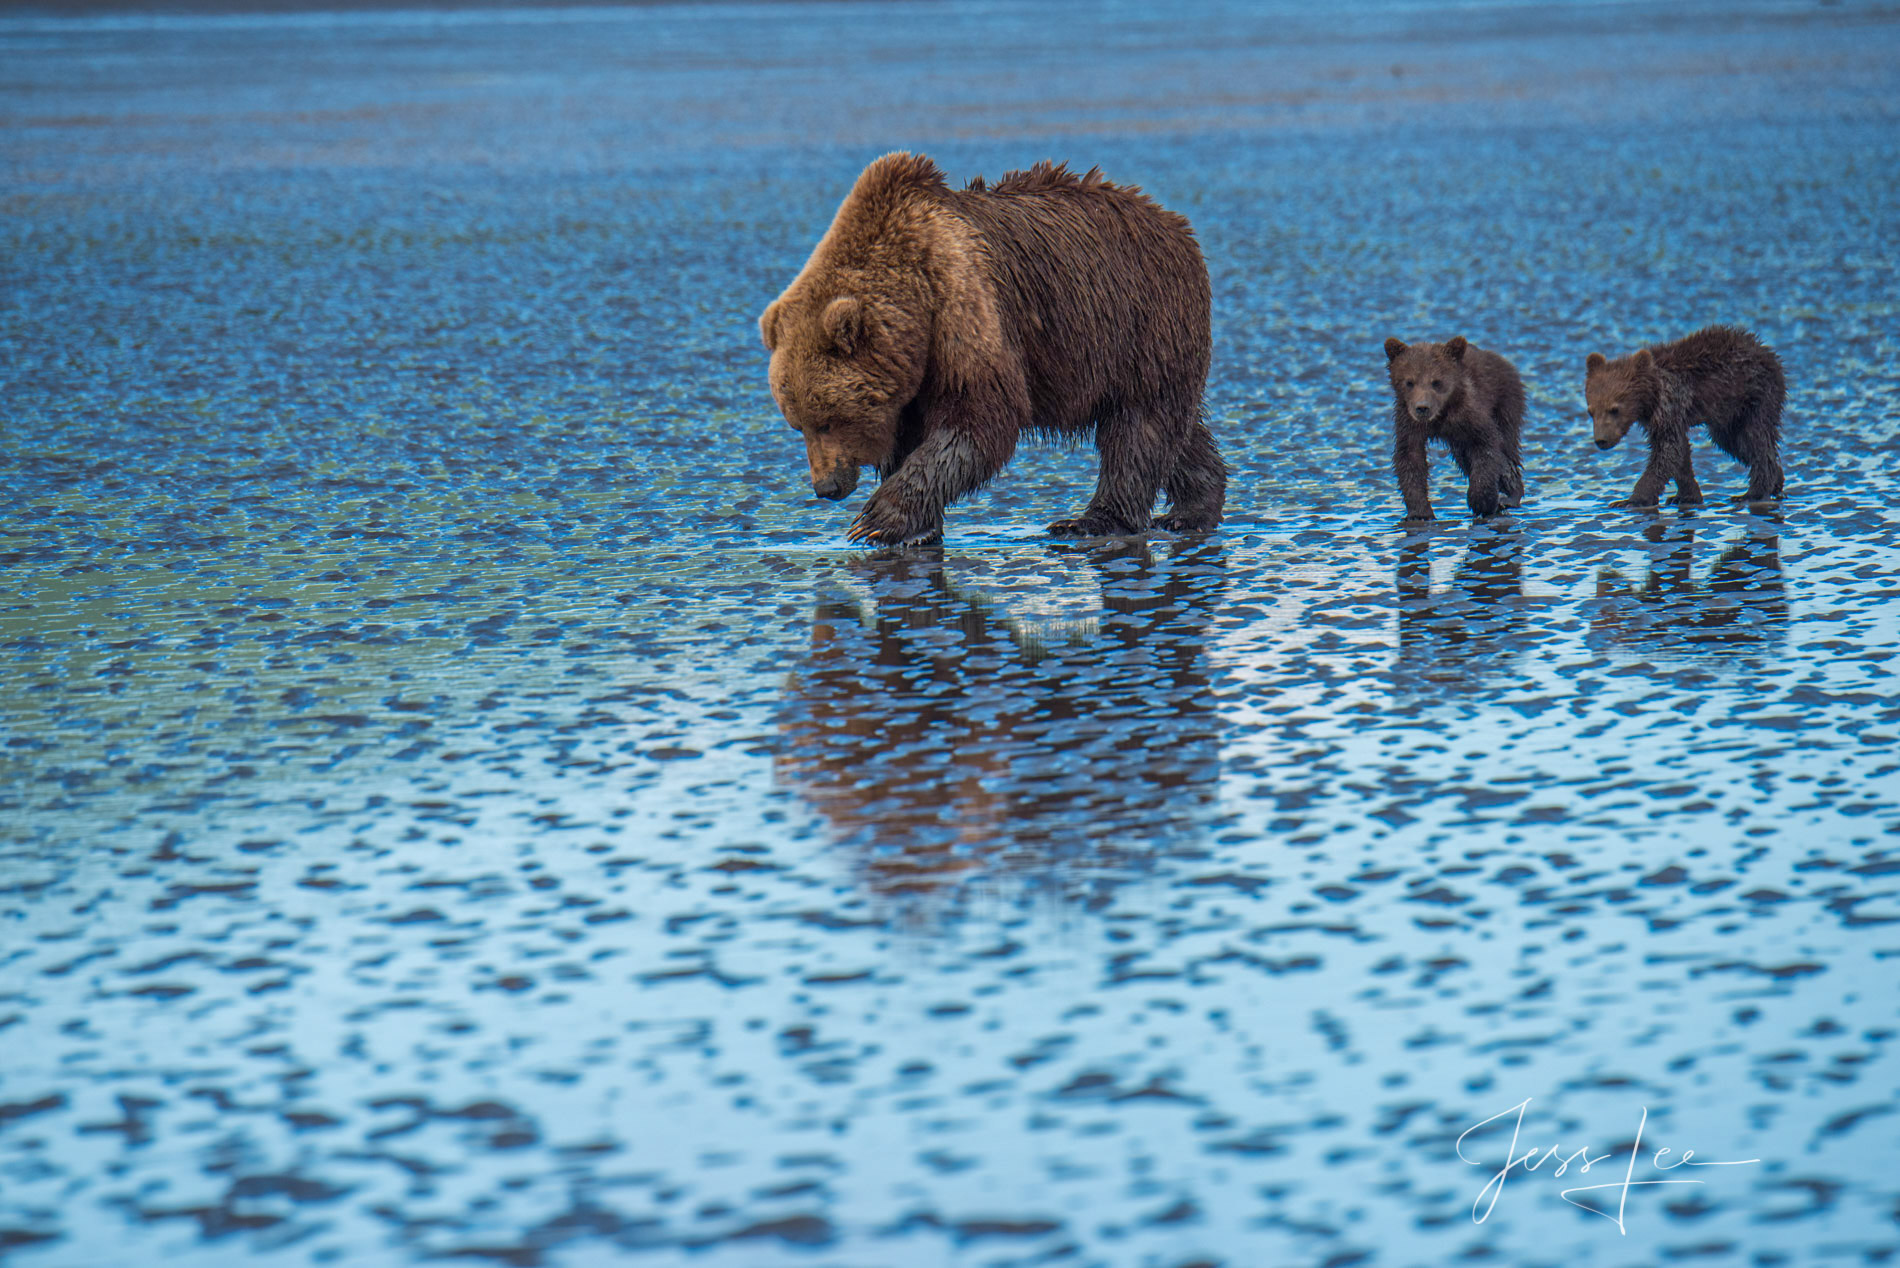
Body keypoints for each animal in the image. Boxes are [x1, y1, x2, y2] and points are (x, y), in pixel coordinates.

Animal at [752, 151, 1216, 543]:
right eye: (797, 424)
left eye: (829, 420)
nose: (826, 487)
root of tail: (1174, 222)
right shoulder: (913, 380)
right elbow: (913, 438)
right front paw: (917, 527)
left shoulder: (964, 307)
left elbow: (978, 419)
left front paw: (877, 520)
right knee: (1176, 430)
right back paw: (1193, 508)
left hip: (1139, 322)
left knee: (1138, 428)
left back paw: (1092, 521)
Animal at [1383, 334, 1527, 524]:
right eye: (1409, 382)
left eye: (1436, 382)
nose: (1422, 408)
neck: (1441, 414)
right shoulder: (1409, 422)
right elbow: (1410, 457)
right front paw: (1419, 513)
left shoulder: (1470, 413)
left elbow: (1486, 447)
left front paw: (1481, 501)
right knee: (1465, 457)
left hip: (1505, 402)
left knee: (1507, 450)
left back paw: (1510, 497)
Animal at [1580, 325, 1786, 509]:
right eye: (1591, 411)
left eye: (1614, 409)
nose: (1601, 440)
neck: (1651, 397)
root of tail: (1767, 351)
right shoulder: (1660, 418)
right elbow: (1680, 453)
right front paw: (1685, 496)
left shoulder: (1671, 404)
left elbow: (1668, 450)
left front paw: (1631, 500)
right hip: (1730, 414)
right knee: (1732, 442)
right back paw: (1777, 480)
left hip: (1757, 395)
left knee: (1756, 439)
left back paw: (1753, 493)